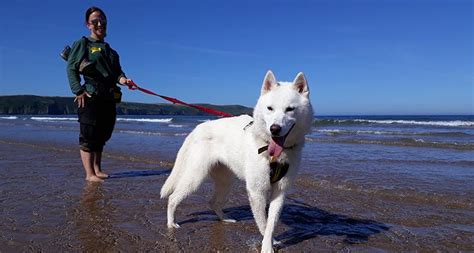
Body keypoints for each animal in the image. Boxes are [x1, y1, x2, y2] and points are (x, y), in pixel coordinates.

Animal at [161, 70, 312, 252]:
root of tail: (198, 128)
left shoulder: (280, 192)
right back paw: (171, 223)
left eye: (290, 109)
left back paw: (224, 219)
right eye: (270, 108)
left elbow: (271, 223)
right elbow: (263, 223)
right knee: (173, 198)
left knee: (213, 202)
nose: (274, 129)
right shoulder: (257, 191)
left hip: (226, 181)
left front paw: (271, 241)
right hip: (195, 177)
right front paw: (267, 246)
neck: (270, 150)